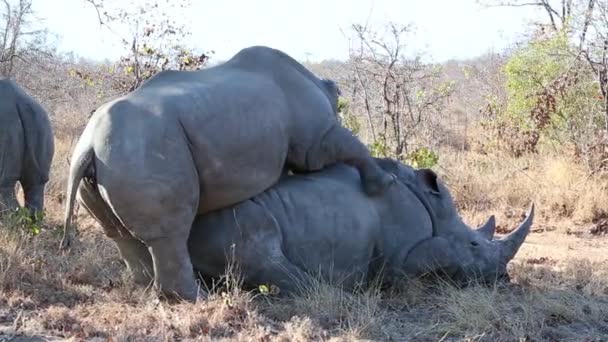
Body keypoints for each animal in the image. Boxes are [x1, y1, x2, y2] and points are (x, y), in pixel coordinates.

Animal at [61, 44, 394, 302]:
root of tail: (89, 145)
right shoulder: (316, 138)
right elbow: (349, 146)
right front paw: (384, 185)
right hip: (143, 147)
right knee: (170, 234)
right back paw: (200, 298)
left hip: (111, 159)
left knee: (121, 233)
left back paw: (150, 290)